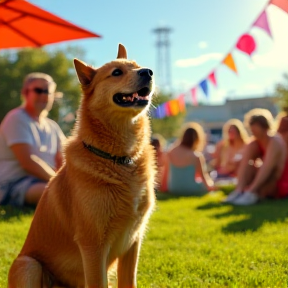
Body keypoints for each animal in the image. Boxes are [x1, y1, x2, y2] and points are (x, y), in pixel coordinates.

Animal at [7, 44, 156, 286]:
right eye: (116, 73)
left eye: (137, 65)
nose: (148, 72)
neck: (119, 159)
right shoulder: (93, 245)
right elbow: (97, 282)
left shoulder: (133, 241)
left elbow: (129, 281)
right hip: (28, 264)